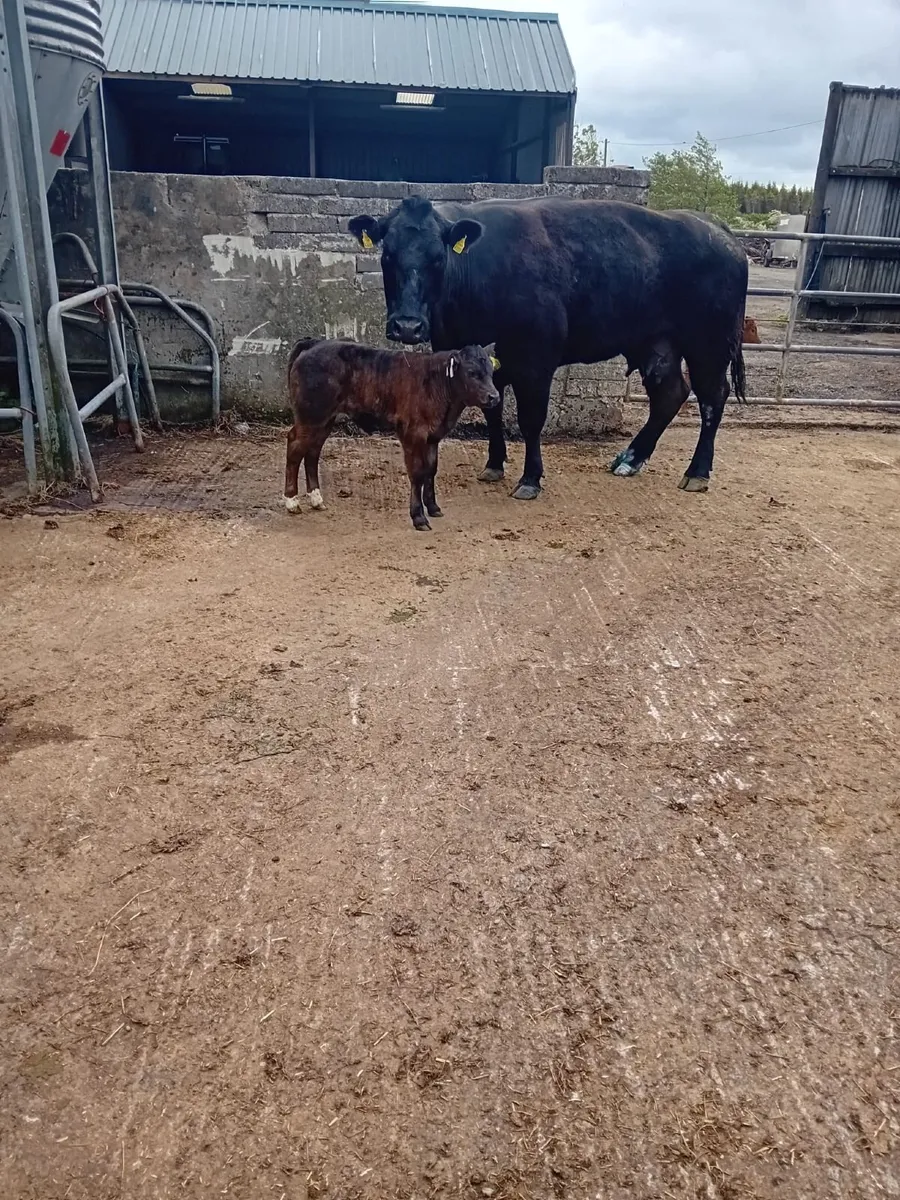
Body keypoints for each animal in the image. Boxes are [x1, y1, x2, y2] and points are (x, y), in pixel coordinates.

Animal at [282, 337, 500, 530]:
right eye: (472, 372)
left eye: (491, 371)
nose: (494, 396)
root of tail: (315, 343)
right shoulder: (412, 434)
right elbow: (417, 474)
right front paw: (418, 517)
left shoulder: (433, 437)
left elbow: (431, 470)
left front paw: (433, 508)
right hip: (311, 416)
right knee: (295, 447)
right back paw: (292, 501)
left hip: (324, 419)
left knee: (312, 451)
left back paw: (316, 499)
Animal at [348, 196, 749, 498]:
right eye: (387, 256)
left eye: (437, 257)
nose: (408, 325)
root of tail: (714, 226)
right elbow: (492, 410)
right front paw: (493, 465)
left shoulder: (535, 361)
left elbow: (530, 420)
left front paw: (530, 479)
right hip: (655, 344)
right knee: (670, 395)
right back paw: (630, 459)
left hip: (709, 344)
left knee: (712, 398)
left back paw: (697, 472)